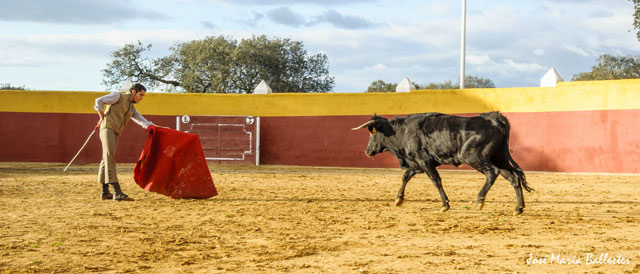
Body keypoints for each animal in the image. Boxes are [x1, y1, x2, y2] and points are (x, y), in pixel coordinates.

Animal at [352, 112, 532, 215]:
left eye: (371, 134)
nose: (367, 151)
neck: (402, 132)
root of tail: (494, 119)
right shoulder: (416, 164)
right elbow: (405, 176)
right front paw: (398, 199)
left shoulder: (424, 161)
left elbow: (436, 181)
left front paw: (445, 205)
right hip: (499, 157)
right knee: (513, 178)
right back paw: (518, 208)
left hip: (473, 156)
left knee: (492, 173)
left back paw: (480, 200)